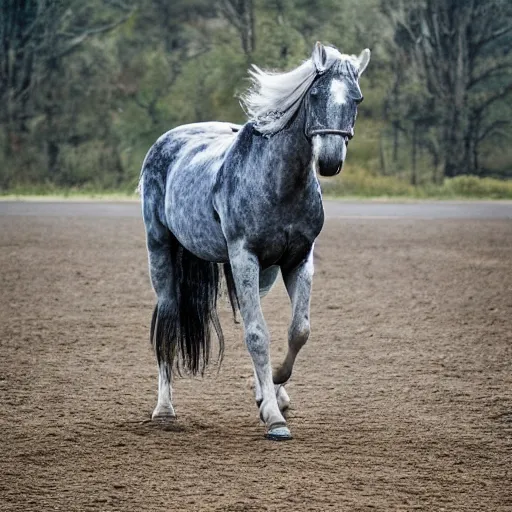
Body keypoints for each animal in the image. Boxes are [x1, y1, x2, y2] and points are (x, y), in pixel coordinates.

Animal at [138, 43, 370, 440]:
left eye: (356, 98)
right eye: (315, 94)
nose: (329, 160)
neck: (279, 182)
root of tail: (167, 142)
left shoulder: (297, 260)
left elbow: (298, 330)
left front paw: (274, 387)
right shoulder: (244, 257)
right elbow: (258, 335)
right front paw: (274, 418)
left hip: (263, 274)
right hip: (162, 254)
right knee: (168, 319)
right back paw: (164, 409)